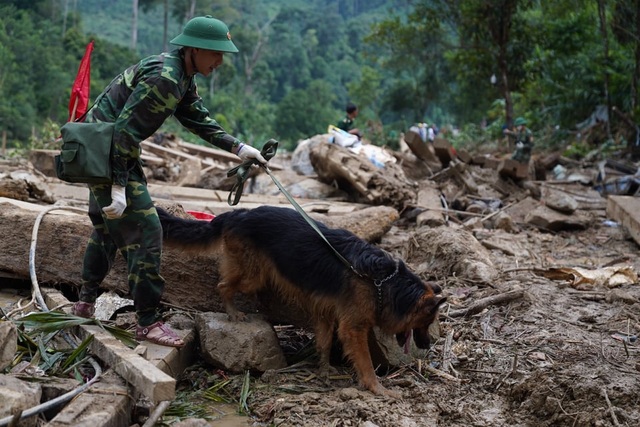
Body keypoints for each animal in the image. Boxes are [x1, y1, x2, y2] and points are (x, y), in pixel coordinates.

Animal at [157, 206, 444, 396]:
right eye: (427, 322)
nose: (428, 345)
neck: (383, 282)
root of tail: (238, 213)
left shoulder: (327, 313)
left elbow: (325, 344)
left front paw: (325, 370)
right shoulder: (354, 328)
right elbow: (365, 362)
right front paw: (376, 387)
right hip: (253, 274)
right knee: (224, 285)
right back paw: (233, 312)